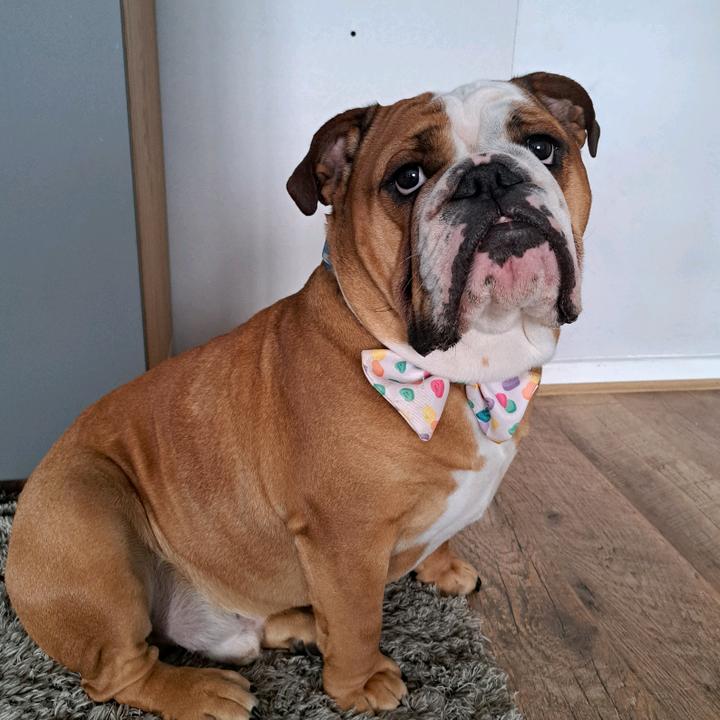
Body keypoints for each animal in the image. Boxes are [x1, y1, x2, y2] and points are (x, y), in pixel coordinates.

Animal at [6, 72, 598, 719]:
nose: (487, 177)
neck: (464, 375)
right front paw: (360, 686)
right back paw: (203, 691)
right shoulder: (345, 542)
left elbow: (439, 536)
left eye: (543, 147)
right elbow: (360, 620)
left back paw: (300, 627)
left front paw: (441, 569)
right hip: (91, 515)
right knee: (118, 673)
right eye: (408, 178)